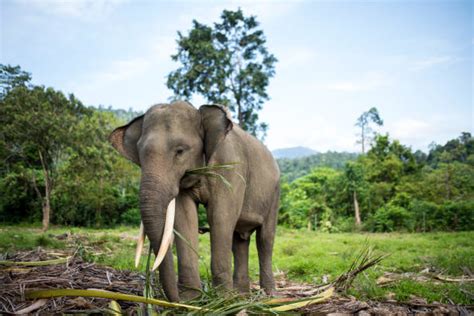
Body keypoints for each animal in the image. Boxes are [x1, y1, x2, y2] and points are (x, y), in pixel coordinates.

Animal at [109, 100, 280, 302]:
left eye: (180, 151)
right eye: (140, 156)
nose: (175, 300)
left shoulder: (231, 168)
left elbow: (220, 217)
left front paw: (221, 299)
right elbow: (184, 218)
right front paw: (191, 299)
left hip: (275, 194)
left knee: (265, 239)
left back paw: (268, 296)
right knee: (239, 240)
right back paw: (241, 296)